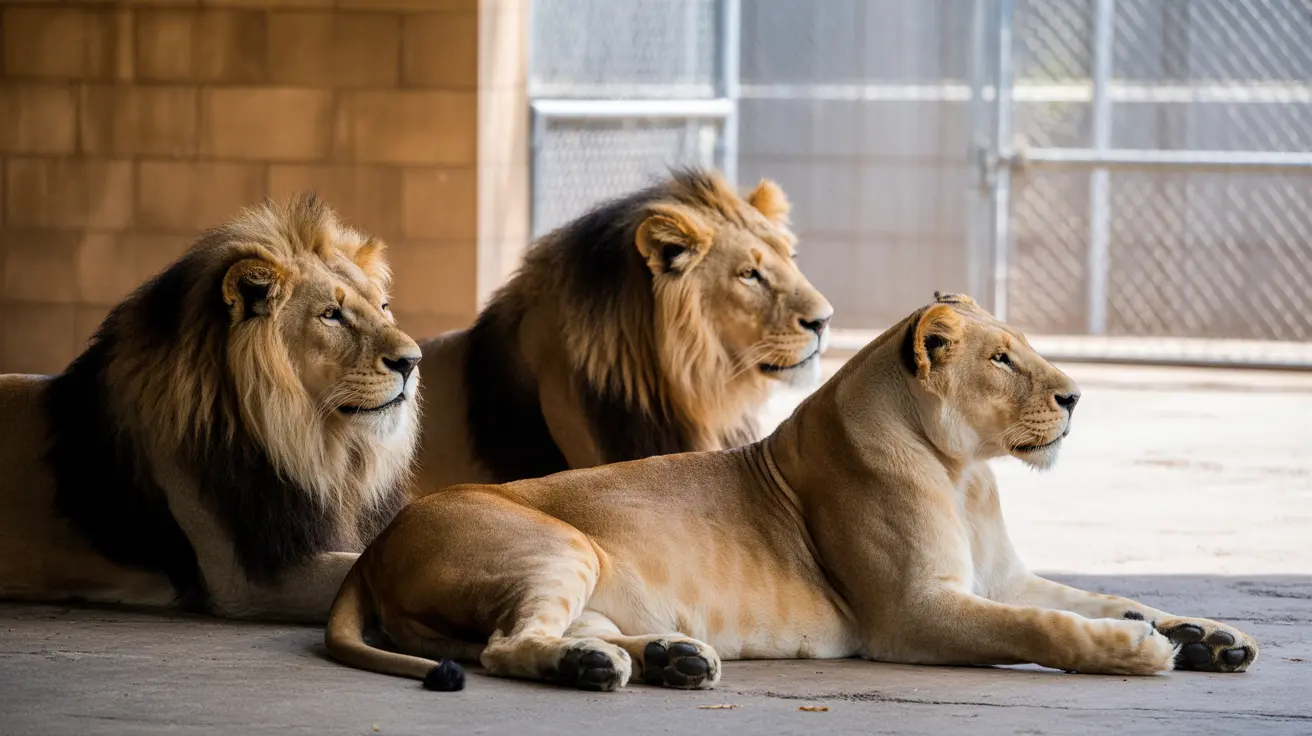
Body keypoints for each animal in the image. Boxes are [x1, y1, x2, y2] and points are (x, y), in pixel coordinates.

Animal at [326, 291, 1258, 691]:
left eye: (1023, 347)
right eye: (1002, 359)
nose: (1075, 396)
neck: (964, 472)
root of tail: (372, 552)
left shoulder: (1002, 577)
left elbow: (1100, 596)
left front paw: (1206, 635)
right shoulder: (913, 613)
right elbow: (1048, 626)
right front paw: (1142, 650)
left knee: (554, 631)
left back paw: (669, 657)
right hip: (559, 544)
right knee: (503, 648)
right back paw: (598, 668)